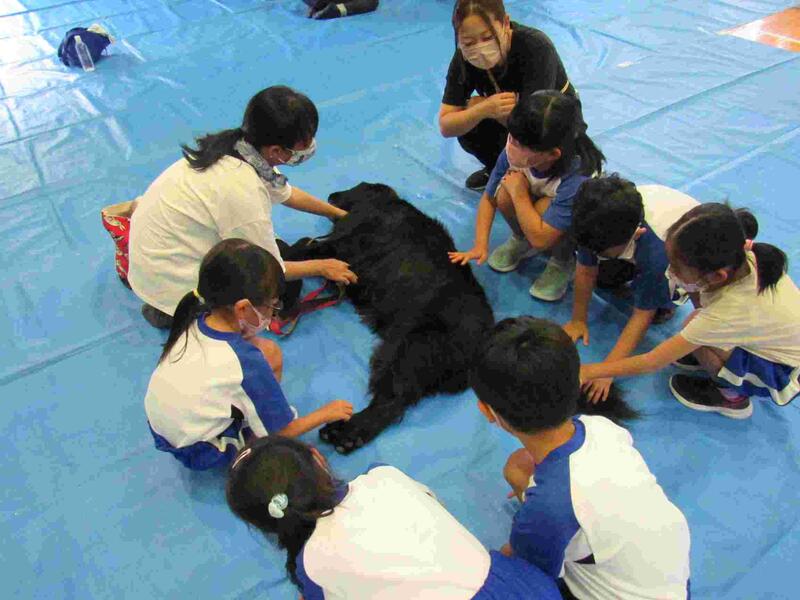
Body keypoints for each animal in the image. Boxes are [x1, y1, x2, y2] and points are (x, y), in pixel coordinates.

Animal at [295, 182, 635, 454]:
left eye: (352, 188)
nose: (331, 194)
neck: (384, 205)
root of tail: (486, 341)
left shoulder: (341, 245)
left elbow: (307, 246)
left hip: (408, 348)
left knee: (391, 401)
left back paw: (347, 432)